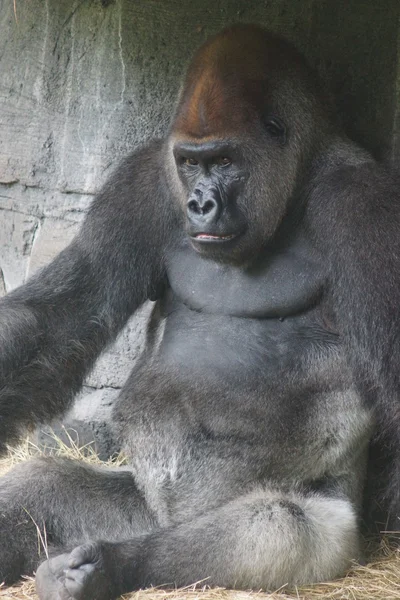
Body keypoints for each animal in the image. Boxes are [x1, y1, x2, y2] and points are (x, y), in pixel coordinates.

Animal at [0, 21, 400, 596]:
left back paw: (108, 567)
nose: (200, 204)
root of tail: (166, 520)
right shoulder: (142, 179)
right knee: (45, 486)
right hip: (140, 506)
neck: (298, 177)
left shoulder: (365, 207)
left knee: (278, 527)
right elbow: (65, 316)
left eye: (225, 161)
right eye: (190, 163)